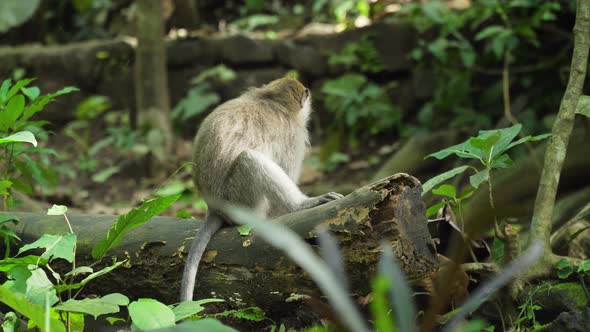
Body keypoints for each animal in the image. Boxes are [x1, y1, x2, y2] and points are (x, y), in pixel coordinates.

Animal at [182, 77, 346, 300]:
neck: (270, 99)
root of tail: (215, 209)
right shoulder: (294, 135)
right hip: (241, 201)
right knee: (250, 159)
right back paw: (301, 205)